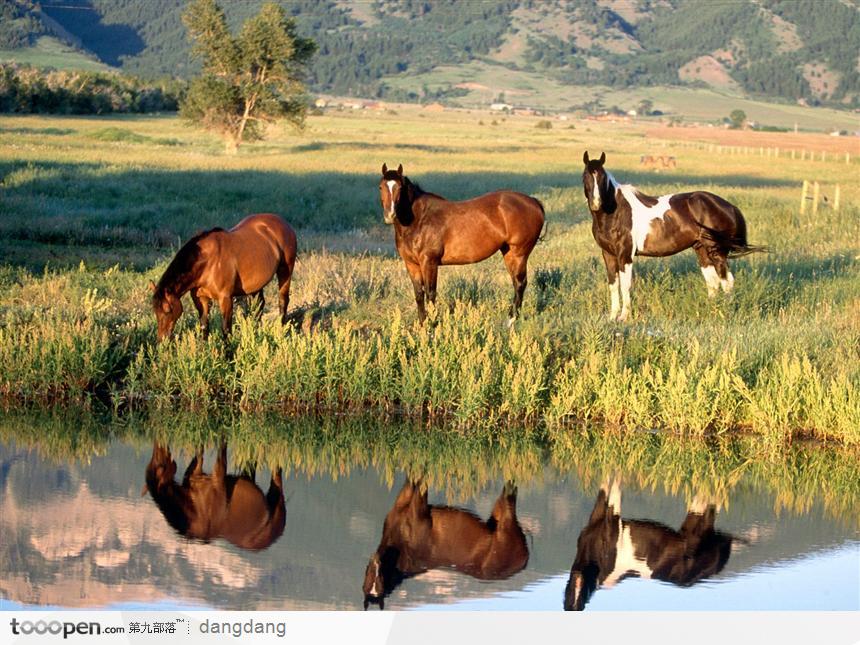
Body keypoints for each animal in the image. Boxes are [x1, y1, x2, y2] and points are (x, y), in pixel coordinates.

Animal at [154, 213, 298, 342]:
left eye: (168, 309)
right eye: (155, 311)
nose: (162, 339)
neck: (207, 262)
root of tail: (283, 222)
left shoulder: (225, 298)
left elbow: (226, 330)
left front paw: (228, 353)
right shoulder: (201, 299)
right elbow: (204, 326)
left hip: (285, 271)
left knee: (283, 301)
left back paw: (282, 331)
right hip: (256, 284)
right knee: (259, 305)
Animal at [360, 478, 528, 608]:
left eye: (380, 580)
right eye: (368, 578)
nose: (375, 559)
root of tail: (522, 563)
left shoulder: (419, 505)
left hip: (506, 518)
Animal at [378, 164, 540, 324]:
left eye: (399, 187)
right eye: (380, 187)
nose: (389, 215)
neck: (419, 219)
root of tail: (534, 202)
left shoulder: (429, 262)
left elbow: (430, 294)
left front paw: (432, 324)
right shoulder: (411, 264)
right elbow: (419, 294)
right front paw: (422, 324)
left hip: (518, 254)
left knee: (520, 283)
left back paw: (511, 320)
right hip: (508, 253)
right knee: (516, 283)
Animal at [580, 151, 764, 322]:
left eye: (603, 178)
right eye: (585, 176)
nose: (596, 204)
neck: (615, 212)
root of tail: (730, 206)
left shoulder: (625, 254)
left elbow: (625, 285)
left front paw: (624, 317)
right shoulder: (608, 253)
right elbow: (613, 284)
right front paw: (612, 317)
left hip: (717, 252)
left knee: (727, 281)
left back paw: (725, 312)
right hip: (702, 250)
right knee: (713, 282)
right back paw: (711, 311)